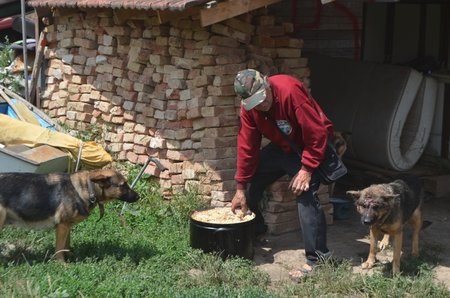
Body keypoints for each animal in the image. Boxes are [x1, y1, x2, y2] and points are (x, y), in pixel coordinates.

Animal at [0, 169, 139, 262]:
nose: (139, 197)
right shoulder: (62, 226)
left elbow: (66, 244)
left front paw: (70, 256)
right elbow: (60, 248)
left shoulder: (66, 227)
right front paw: (62, 263)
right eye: (123, 185)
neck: (88, 188)